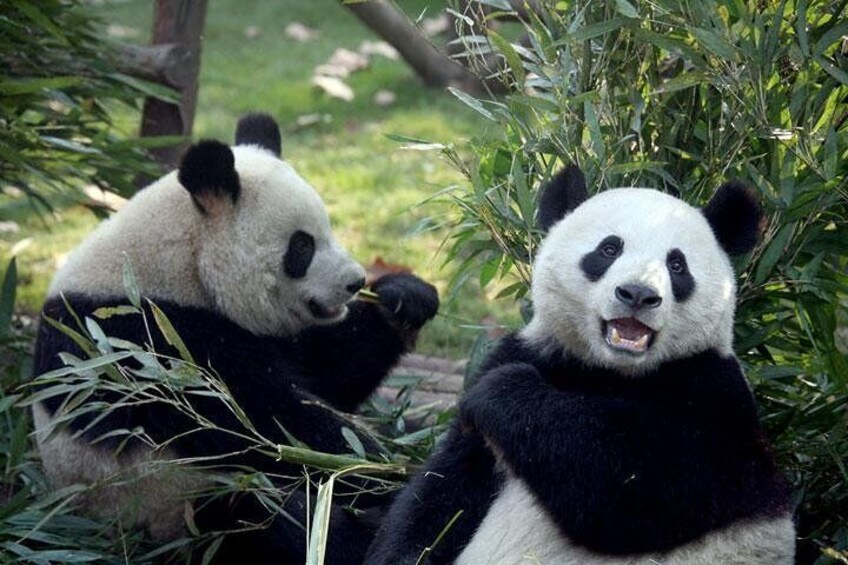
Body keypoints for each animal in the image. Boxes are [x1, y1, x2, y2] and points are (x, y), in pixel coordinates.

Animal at [29, 112, 440, 560]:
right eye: (302, 246)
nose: (355, 281)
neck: (175, 262)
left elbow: (329, 373)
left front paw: (403, 298)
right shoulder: (148, 345)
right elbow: (273, 426)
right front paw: (394, 474)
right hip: (176, 508)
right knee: (271, 516)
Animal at [366, 165, 796, 560]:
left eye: (677, 265)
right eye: (609, 249)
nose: (637, 294)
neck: (612, 371)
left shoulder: (714, 398)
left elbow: (638, 484)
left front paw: (505, 391)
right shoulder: (542, 351)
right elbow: (445, 490)